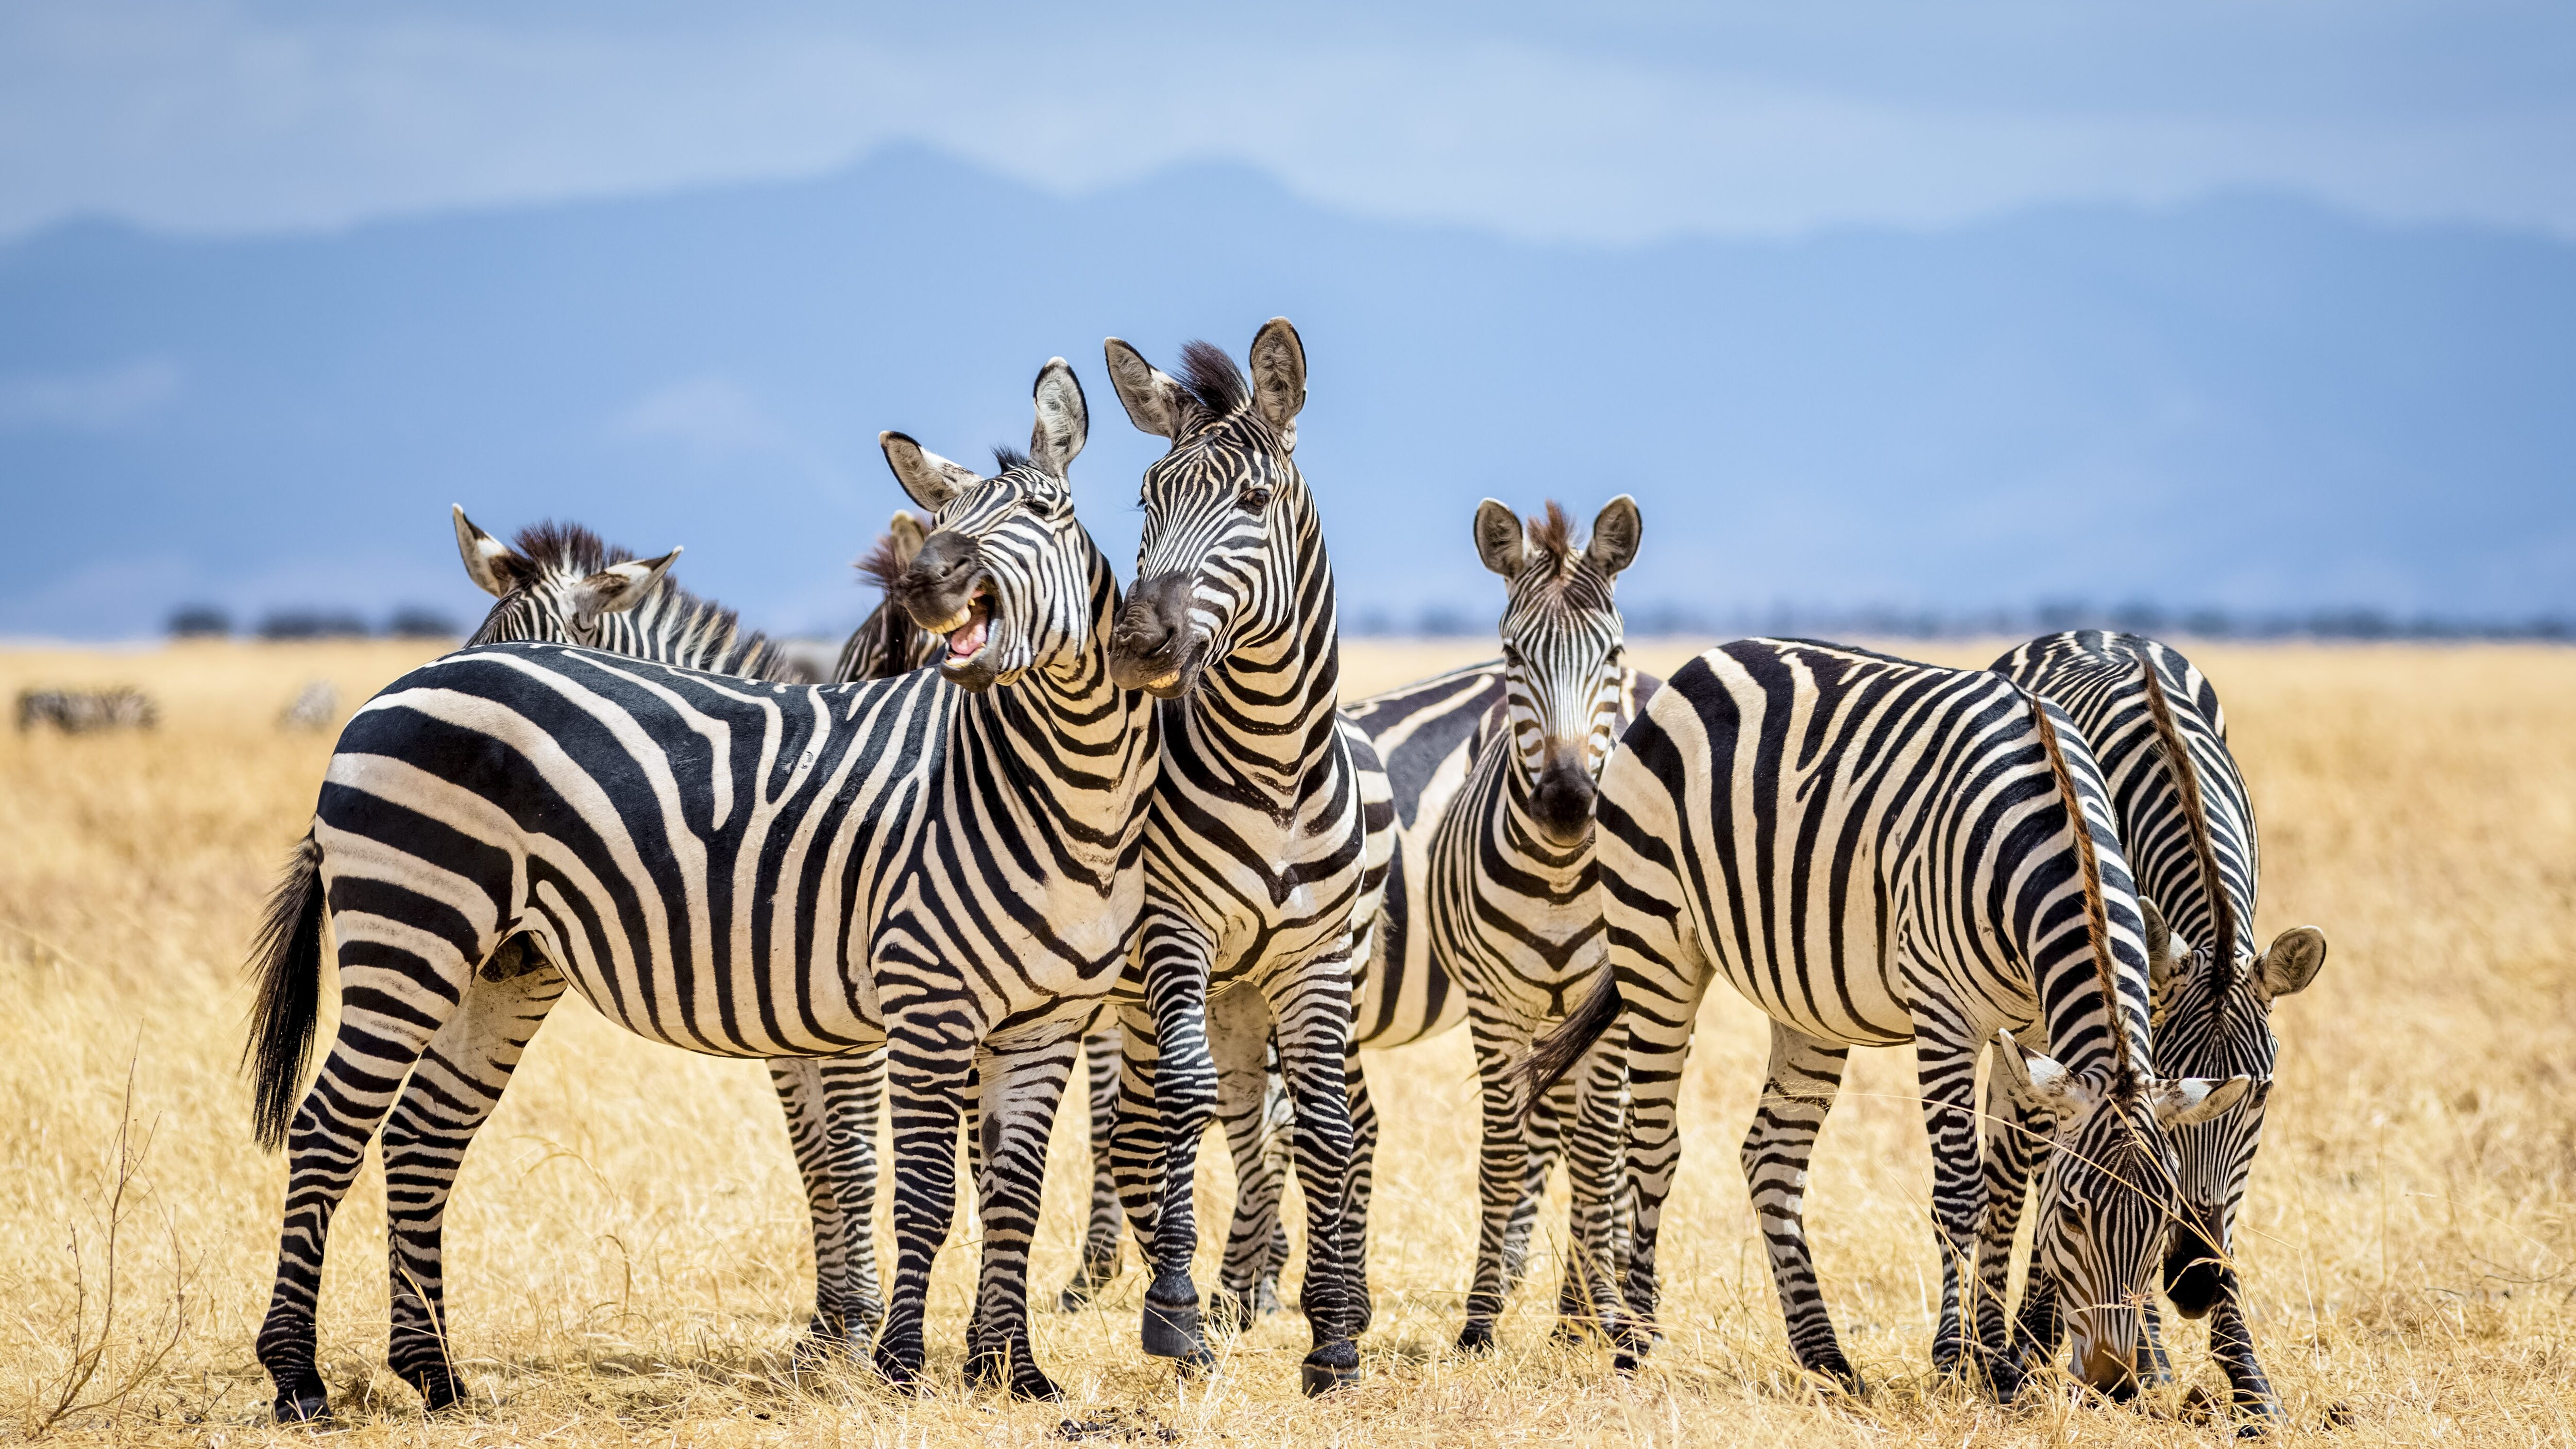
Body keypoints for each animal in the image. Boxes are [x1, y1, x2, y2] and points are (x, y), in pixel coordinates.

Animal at [243, 360, 1158, 1418]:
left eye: (1047, 511)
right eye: (942, 520)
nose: (930, 582)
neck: (1063, 786)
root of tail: (389, 693)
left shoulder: (1038, 1017)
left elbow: (1004, 1189)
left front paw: (1008, 1370)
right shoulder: (915, 1004)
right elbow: (900, 1179)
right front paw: (887, 1358)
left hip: (501, 964)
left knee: (422, 1137)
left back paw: (435, 1373)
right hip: (411, 932)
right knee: (328, 1129)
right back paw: (298, 1376)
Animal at [1093, 320, 1384, 1394]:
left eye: (1254, 504)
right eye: (1147, 499)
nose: (1137, 644)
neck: (1275, 766)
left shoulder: (1312, 959)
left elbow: (1329, 1124)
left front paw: (1333, 1333)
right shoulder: (1174, 933)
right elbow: (1180, 1106)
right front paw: (1175, 1312)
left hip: (1258, 989)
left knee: (1264, 1120)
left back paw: (1259, 1287)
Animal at [1520, 639, 2253, 1400]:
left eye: (2163, 1216)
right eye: (2073, 1214)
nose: (2114, 1382)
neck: (2054, 829)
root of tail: (1703, 661)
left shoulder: (2031, 1033)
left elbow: (2005, 1190)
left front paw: (1999, 1362)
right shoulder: (1944, 1015)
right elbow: (1962, 1192)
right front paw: (1960, 1357)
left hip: (1804, 998)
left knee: (1771, 1155)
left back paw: (1825, 1356)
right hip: (1656, 943)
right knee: (1652, 1143)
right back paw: (1634, 1343)